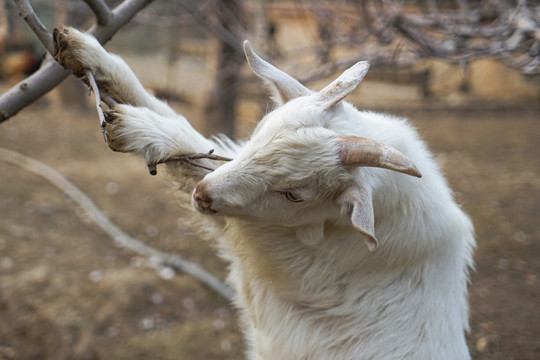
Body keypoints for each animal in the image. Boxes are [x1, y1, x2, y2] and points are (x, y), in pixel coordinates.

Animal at [54, 26, 474, 358]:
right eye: (257, 134)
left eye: (294, 195)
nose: (203, 196)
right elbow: (187, 129)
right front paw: (84, 51)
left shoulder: (263, 242)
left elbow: (190, 149)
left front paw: (137, 129)